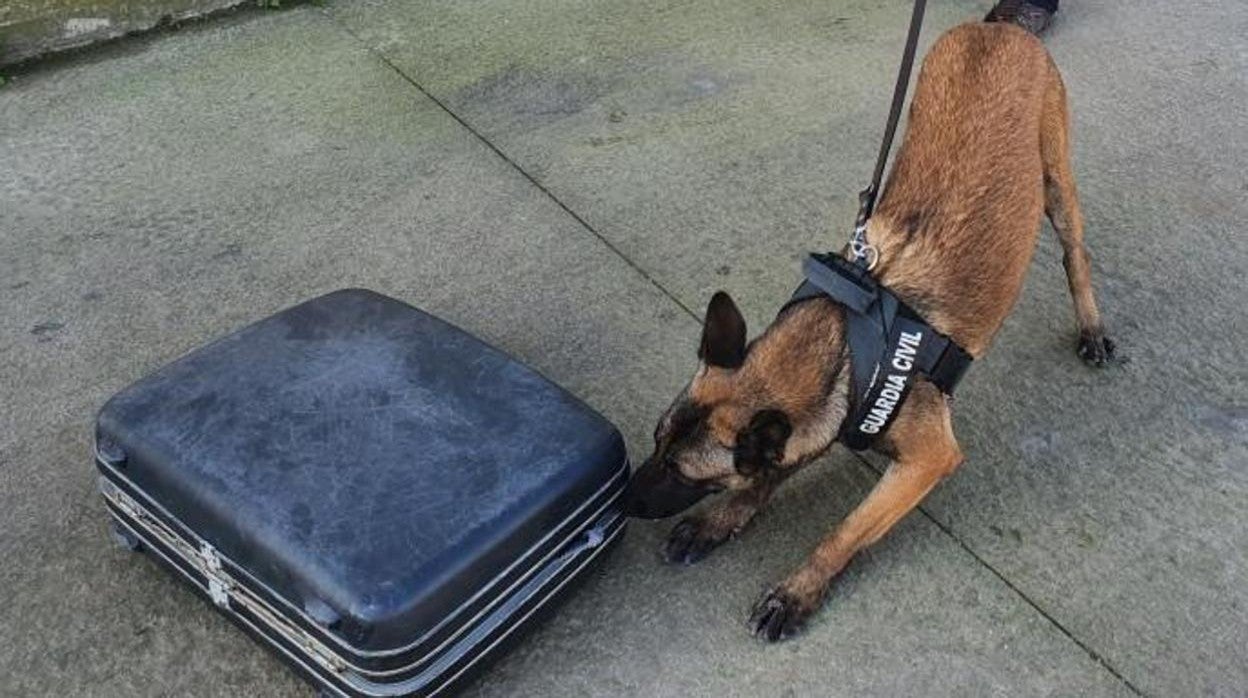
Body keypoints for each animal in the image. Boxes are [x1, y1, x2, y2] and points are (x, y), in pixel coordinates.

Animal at [619, 20, 1118, 644]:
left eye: (682, 471)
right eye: (656, 440)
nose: (622, 501)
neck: (840, 345)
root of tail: (1000, 25)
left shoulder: (927, 460)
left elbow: (847, 531)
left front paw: (797, 590)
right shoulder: (810, 425)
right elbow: (769, 473)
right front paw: (721, 521)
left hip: (1056, 180)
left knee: (1076, 253)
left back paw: (1092, 325)